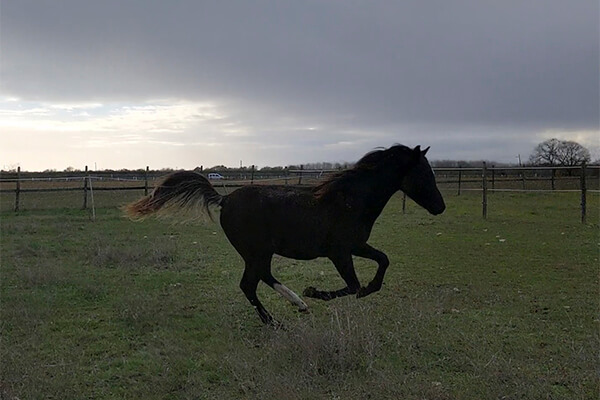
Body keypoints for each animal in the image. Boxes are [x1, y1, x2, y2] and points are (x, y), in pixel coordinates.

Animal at [126, 144, 446, 324]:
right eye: (424, 174)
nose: (440, 207)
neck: (350, 199)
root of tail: (224, 199)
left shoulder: (357, 245)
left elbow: (383, 261)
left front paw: (369, 288)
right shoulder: (340, 252)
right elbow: (352, 285)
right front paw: (315, 292)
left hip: (260, 253)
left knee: (261, 278)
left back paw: (297, 304)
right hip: (255, 252)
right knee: (249, 284)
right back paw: (276, 320)